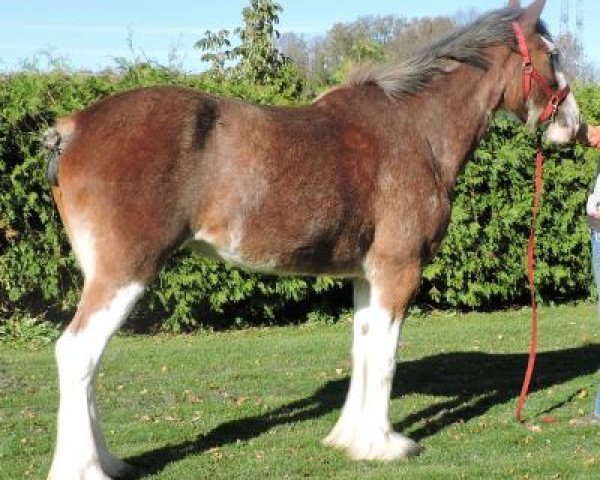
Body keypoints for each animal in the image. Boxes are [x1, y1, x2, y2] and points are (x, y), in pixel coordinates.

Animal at [43, 1, 580, 478]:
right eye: (552, 53)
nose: (575, 125)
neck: (415, 129)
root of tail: (73, 127)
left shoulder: (366, 277)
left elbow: (363, 349)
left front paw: (350, 439)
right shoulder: (398, 270)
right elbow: (386, 357)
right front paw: (385, 445)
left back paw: (109, 462)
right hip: (125, 272)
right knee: (78, 353)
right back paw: (85, 469)